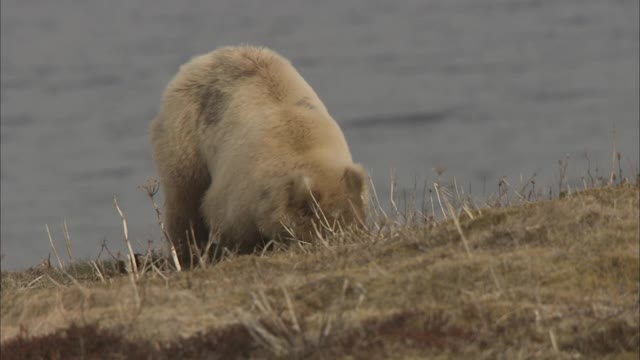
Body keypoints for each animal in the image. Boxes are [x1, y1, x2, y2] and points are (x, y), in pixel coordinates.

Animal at [150, 45, 368, 264]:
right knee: (184, 198)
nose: (349, 238)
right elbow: (228, 221)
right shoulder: (243, 187)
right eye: (326, 227)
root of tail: (201, 59)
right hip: (185, 134)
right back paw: (187, 253)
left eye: (356, 222)